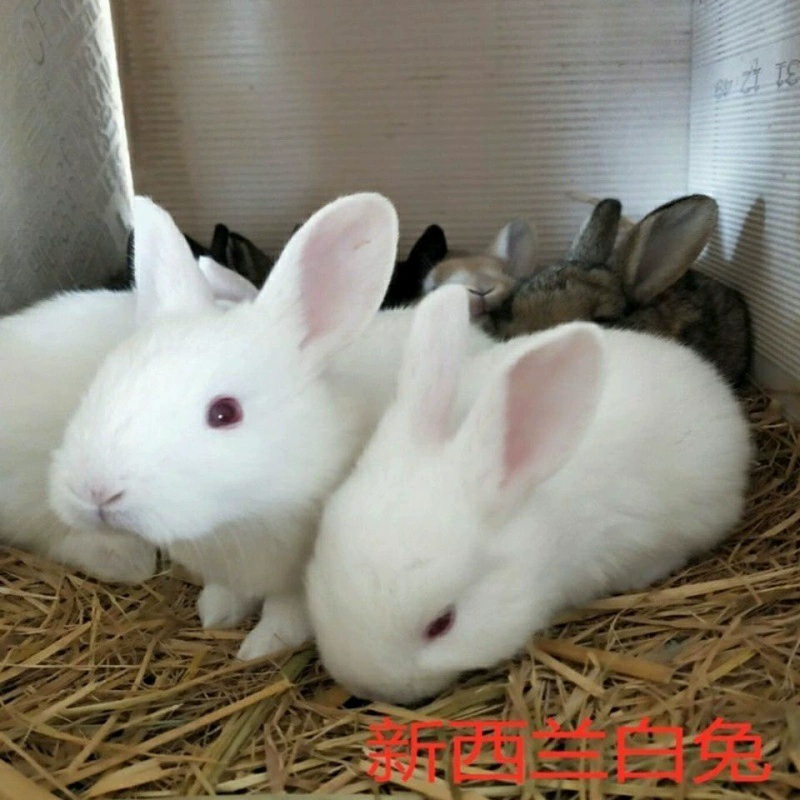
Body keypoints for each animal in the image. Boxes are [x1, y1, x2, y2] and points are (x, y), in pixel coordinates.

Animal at [48, 194, 495, 659]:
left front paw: (261, 646)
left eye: (224, 413)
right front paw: (215, 614)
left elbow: (287, 611)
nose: (95, 492)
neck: (239, 518)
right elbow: (226, 592)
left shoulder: (297, 579)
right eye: (105, 377)